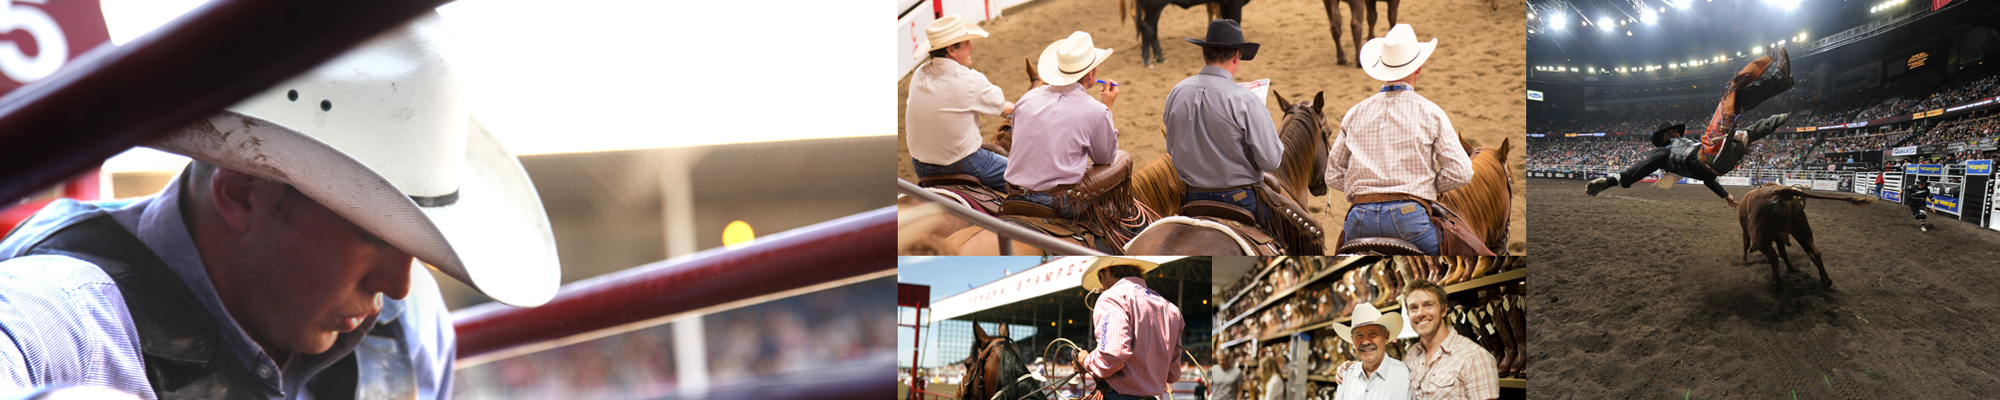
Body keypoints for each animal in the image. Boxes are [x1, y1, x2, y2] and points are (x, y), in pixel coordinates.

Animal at [1736, 184, 1872, 290]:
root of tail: (1780, 192)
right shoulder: (1780, 236)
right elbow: (1783, 252)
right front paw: (1791, 267)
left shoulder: (1748, 231)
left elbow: (1746, 244)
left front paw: (1743, 259)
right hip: (1802, 230)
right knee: (1815, 252)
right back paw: (1825, 280)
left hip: (1761, 240)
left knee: (1773, 257)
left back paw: (1777, 282)